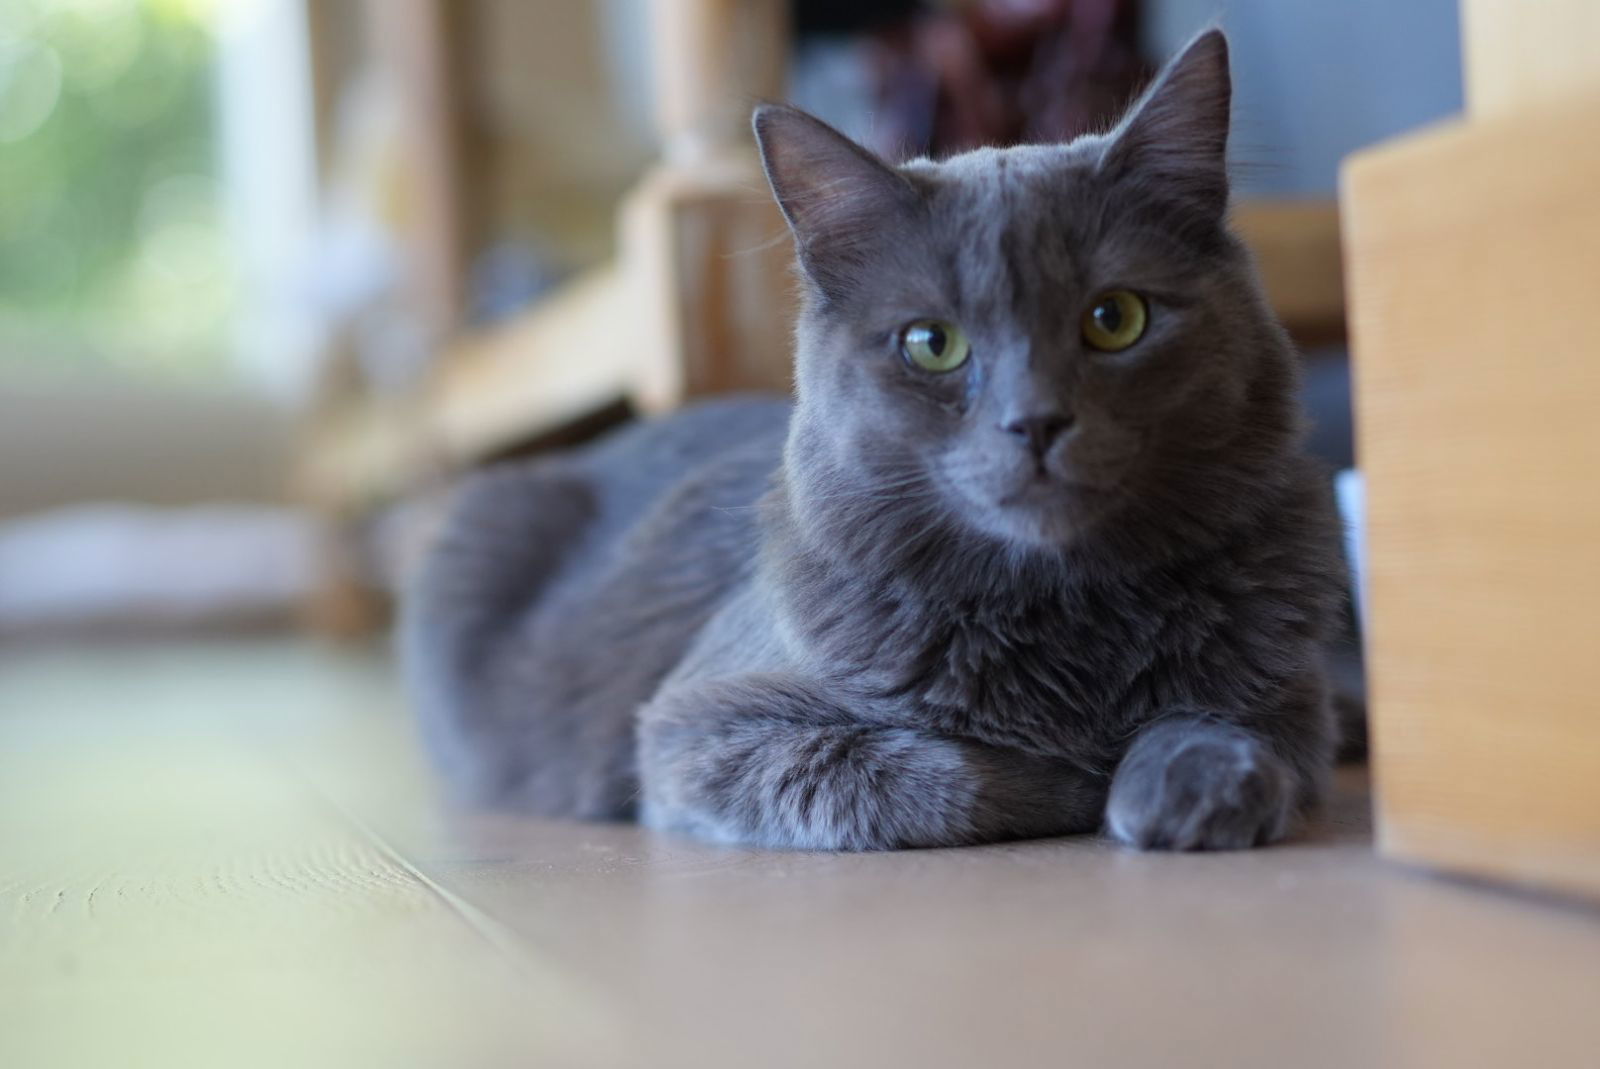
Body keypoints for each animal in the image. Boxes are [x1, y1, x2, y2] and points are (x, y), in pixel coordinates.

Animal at [403, 27, 1350, 851]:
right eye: (933, 343)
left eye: (1115, 319)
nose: (1036, 420)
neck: (1065, 608)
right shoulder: (693, 729)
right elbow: (939, 770)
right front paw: (1086, 776)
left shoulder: (1287, 687)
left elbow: (1245, 724)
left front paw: (1191, 780)